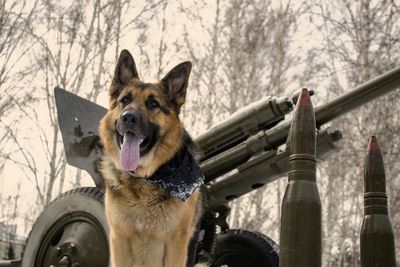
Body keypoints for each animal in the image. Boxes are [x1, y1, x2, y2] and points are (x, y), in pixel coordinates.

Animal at [97, 50, 203, 267]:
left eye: (153, 104)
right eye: (125, 100)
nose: (128, 117)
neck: (145, 178)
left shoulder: (176, 244)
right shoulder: (119, 240)